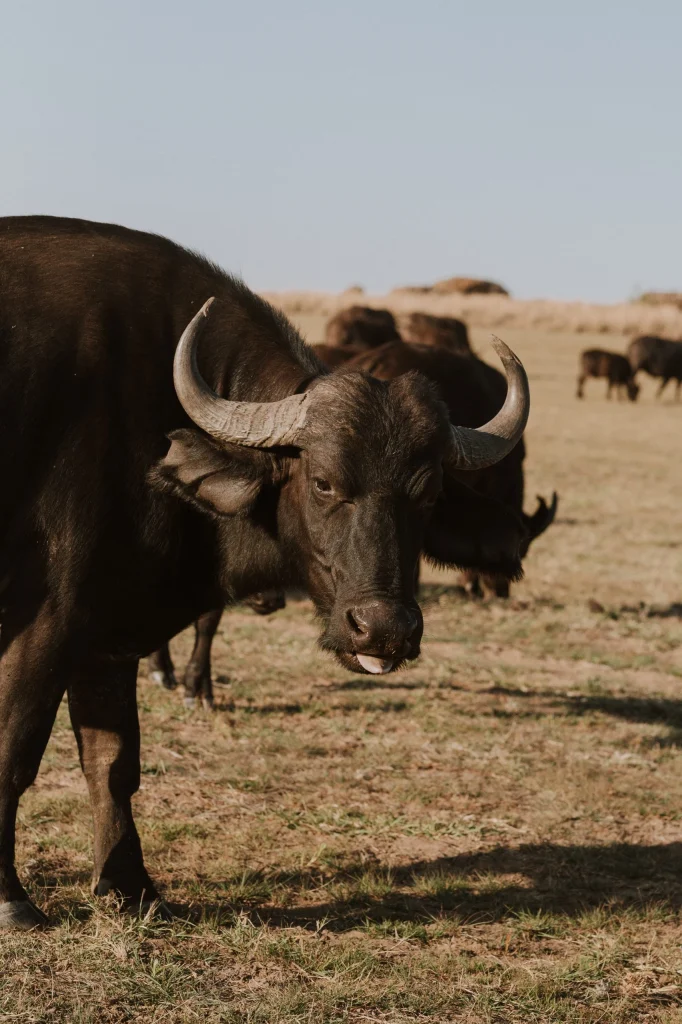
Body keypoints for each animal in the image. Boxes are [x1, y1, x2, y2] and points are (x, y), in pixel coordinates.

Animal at [0, 216, 530, 928]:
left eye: (426, 493)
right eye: (324, 481)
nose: (383, 629)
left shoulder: (105, 632)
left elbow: (112, 760)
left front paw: (130, 887)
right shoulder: (47, 626)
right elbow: (15, 754)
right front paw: (12, 898)